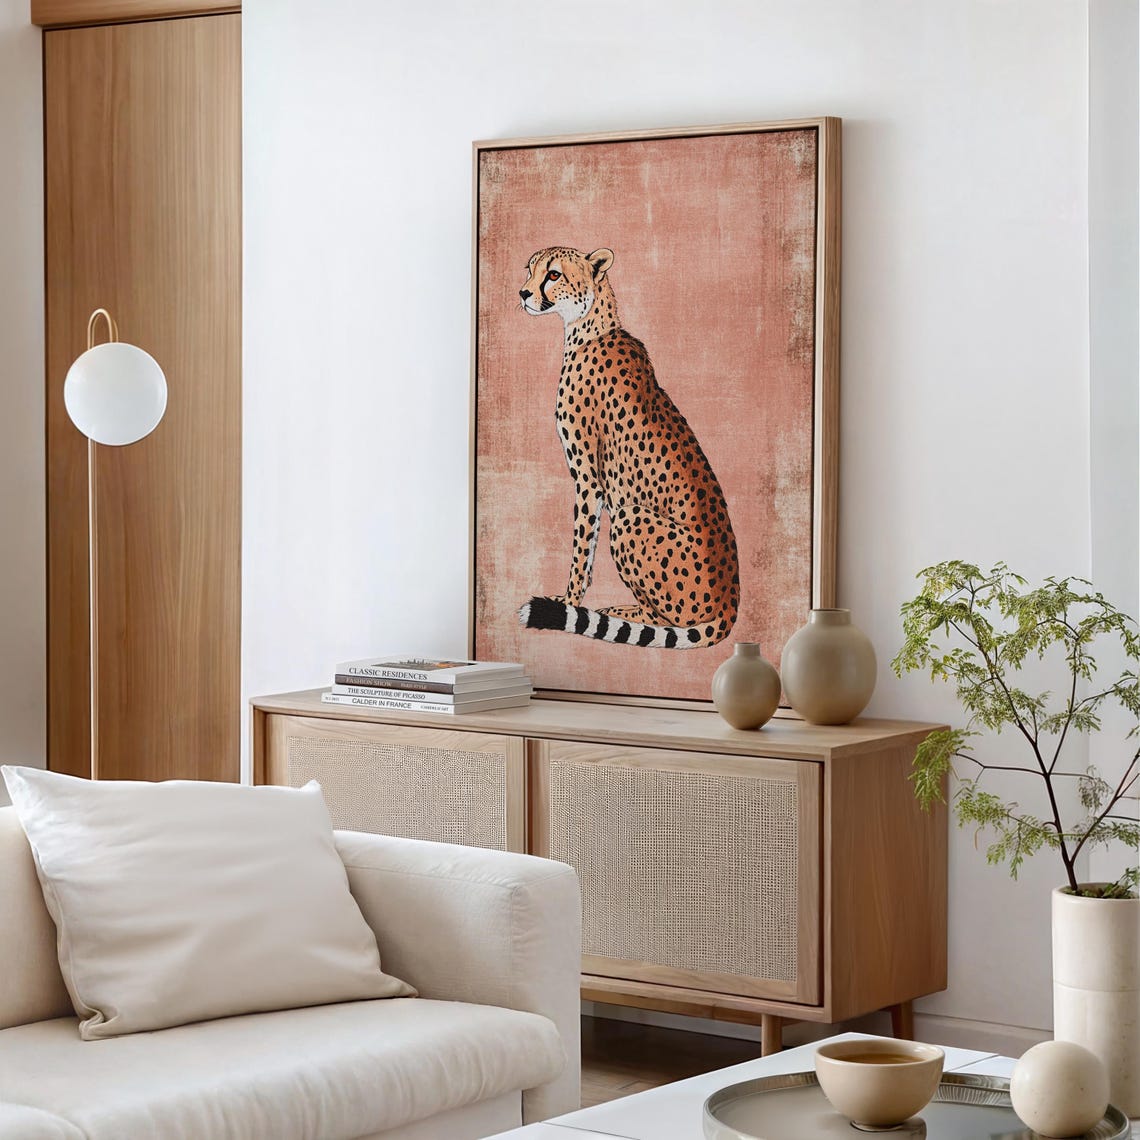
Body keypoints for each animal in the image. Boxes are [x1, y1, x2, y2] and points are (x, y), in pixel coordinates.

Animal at [517, 245, 739, 649]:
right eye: (530, 270)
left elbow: (581, 547)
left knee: (666, 620)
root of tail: (730, 602)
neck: (588, 328)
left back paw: (622, 612)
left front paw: (568, 602)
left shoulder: (589, 479)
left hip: (629, 516)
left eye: (553, 274)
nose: (523, 293)